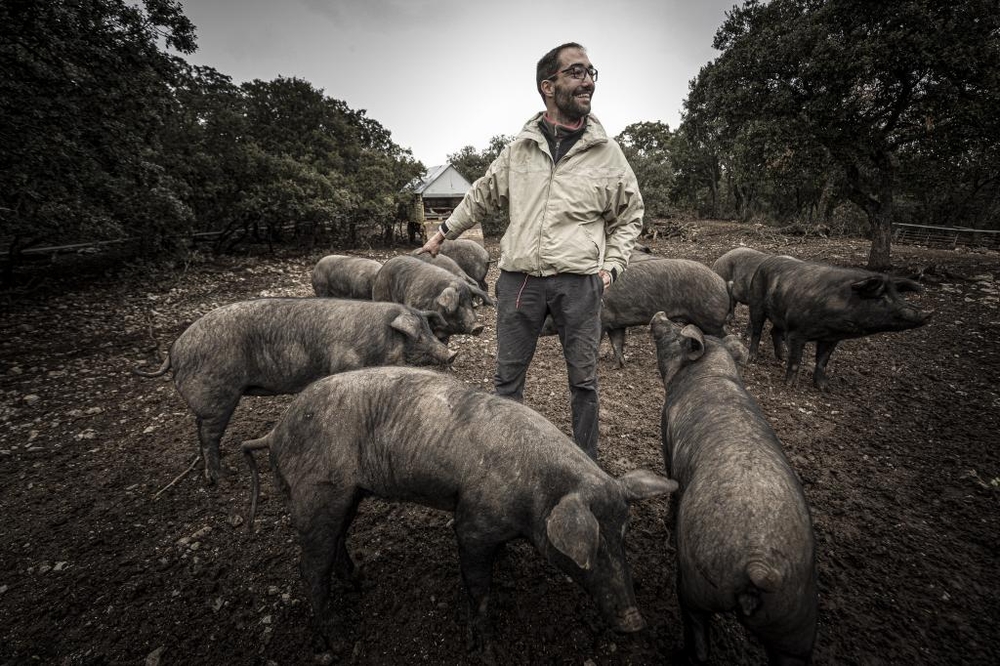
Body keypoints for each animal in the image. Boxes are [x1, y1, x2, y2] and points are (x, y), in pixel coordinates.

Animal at [133, 298, 458, 480]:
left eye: (430, 331)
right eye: (417, 337)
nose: (451, 354)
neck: (379, 339)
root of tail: (175, 350)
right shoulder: (343, 363)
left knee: (200, 429)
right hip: (217, 396)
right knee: (208, 436)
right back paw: (221, 477)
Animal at [242, 366, 680, 656]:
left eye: (623, 534)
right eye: (588, 546)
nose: (634, 621)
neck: (534, 492)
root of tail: (274, 432)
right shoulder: (472, 523)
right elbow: (478, 587)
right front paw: (485, 649)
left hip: (348, 494)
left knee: (337, 544)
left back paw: (361, 582)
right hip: (318, 492)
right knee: (310, 568)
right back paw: (338, 643)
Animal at [648, 312, 820, 664]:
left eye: (676, 332)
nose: (660, 314)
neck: (713, 371)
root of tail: (759, 563)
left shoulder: (666, 435)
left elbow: (672, 481)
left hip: (697, 581)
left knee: (698, 635)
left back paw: (678, 653)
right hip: (797, 620)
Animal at [752, 255, 928, 390]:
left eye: (898, 296)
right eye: (881, 297)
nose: (928, 315)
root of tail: (766, 262)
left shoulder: (832, 337)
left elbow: (823, 361)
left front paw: (824, 388)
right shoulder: (796, 332)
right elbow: (796, 359)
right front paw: (790, 386)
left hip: (779, 315)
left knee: (774, 331)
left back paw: (781, 358)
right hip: (758, 304)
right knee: (757, 330)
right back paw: (753, 359)